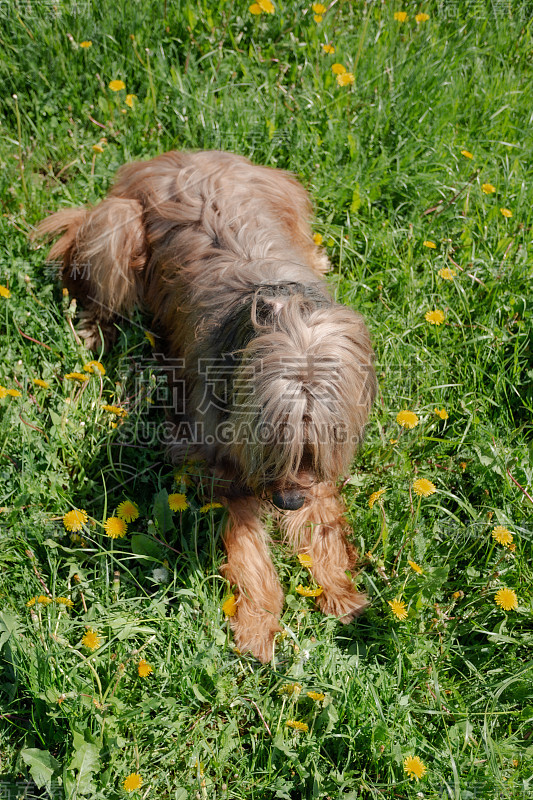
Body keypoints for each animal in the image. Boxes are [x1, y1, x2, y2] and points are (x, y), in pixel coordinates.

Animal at [37, 150, 376, 664]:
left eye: (315, 446)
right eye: (270, 444)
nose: (286, 501)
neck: (278, 317)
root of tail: (174, 158)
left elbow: (323, 522)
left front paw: (340, 592)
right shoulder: (213, 457)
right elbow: (247, 545)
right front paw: (258, 624)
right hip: (117, 226)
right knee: (98, 293)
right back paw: (95, 335)